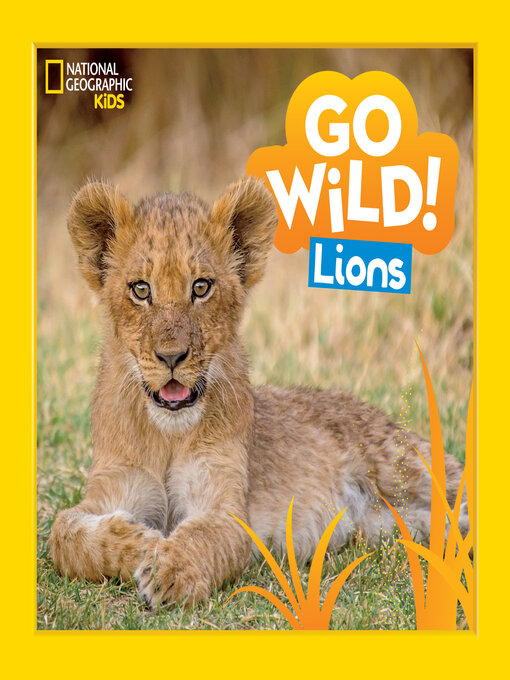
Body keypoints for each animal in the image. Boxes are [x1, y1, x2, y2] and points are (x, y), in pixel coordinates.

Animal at [49, 176, 467, 608]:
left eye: (201, 287)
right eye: (140, 289)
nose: (171, 356)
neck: (167, 435)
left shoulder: (228, 509)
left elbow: (202, 537)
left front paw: (170, 570)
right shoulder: (111, 486)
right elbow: (64, 535)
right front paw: (141, 542)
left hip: (404, 465)